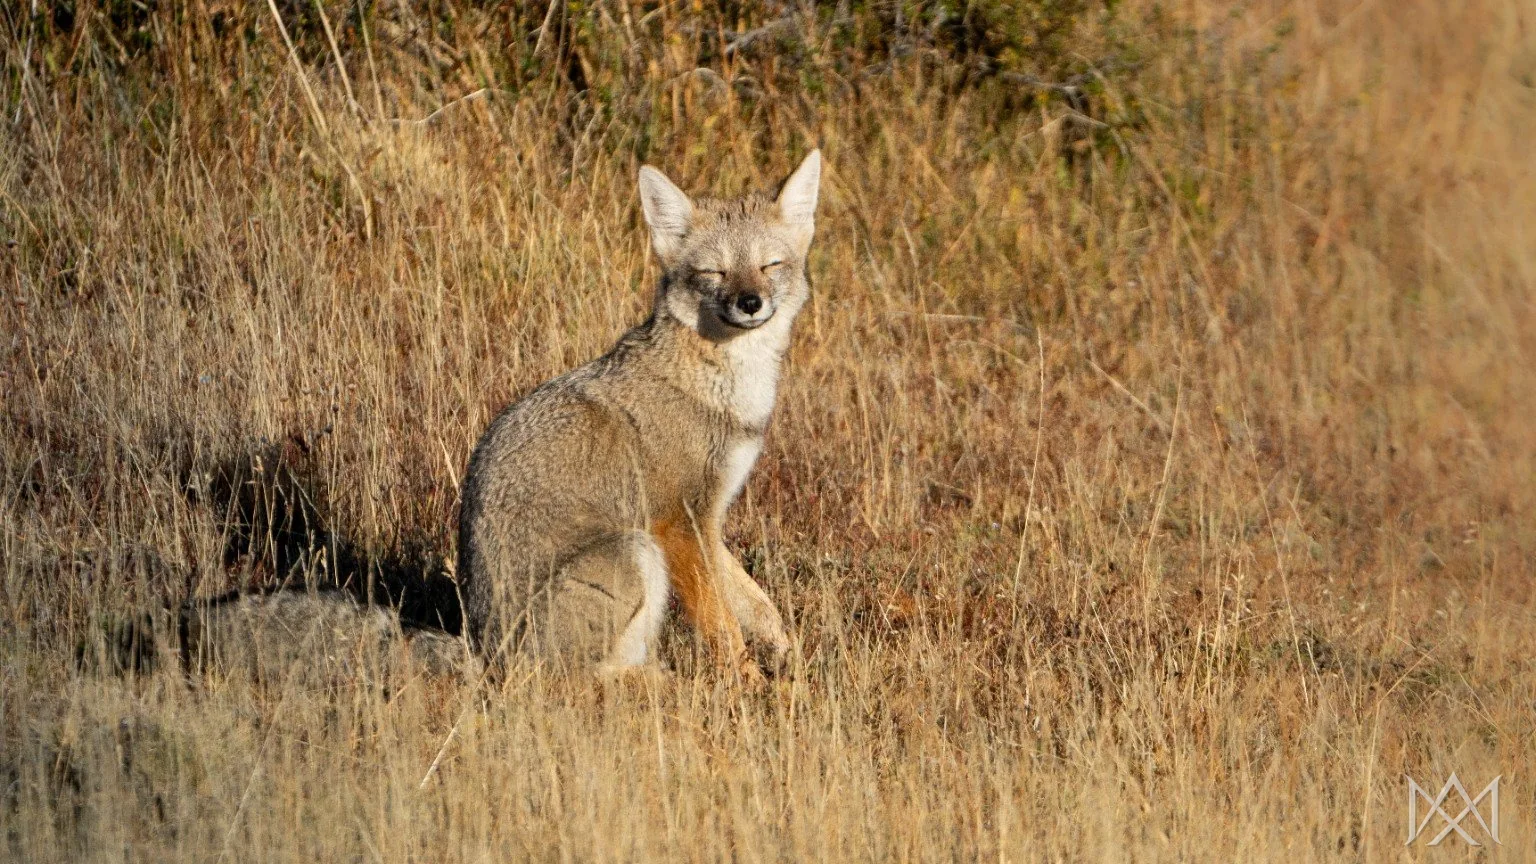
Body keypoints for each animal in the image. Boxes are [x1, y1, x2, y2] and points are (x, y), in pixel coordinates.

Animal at [457, 150, 823, 678]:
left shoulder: (709, 516)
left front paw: (790, 662)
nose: (750, 303)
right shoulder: (678, 522)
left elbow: (756, 603)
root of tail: (484, 651)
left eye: (769, 265)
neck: (722, 384)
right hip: (636, 550)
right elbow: (721, 623)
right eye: (714, 272)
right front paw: (747, 682)